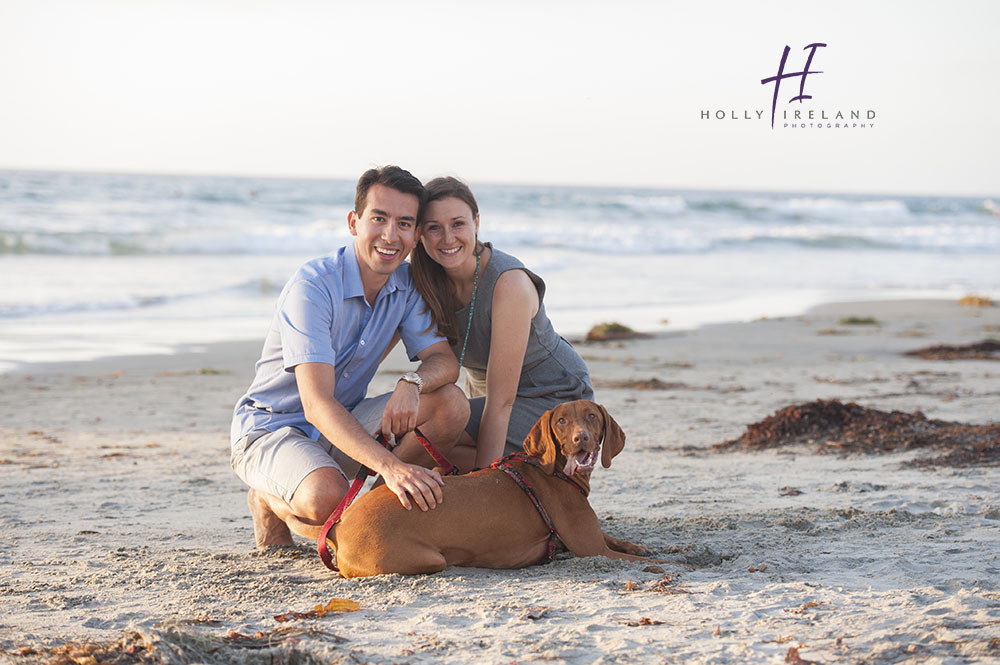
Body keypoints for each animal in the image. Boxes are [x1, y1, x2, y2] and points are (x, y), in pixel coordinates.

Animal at [286, 400, 668, 576]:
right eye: (561, 421)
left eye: (591, 416)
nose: (581, 439)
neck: (554, 471)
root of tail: (340, 525)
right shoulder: (592, 550)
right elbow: (647, 560)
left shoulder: (594, 541)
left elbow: (618, 539)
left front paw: (640, 545)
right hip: (425, 558)